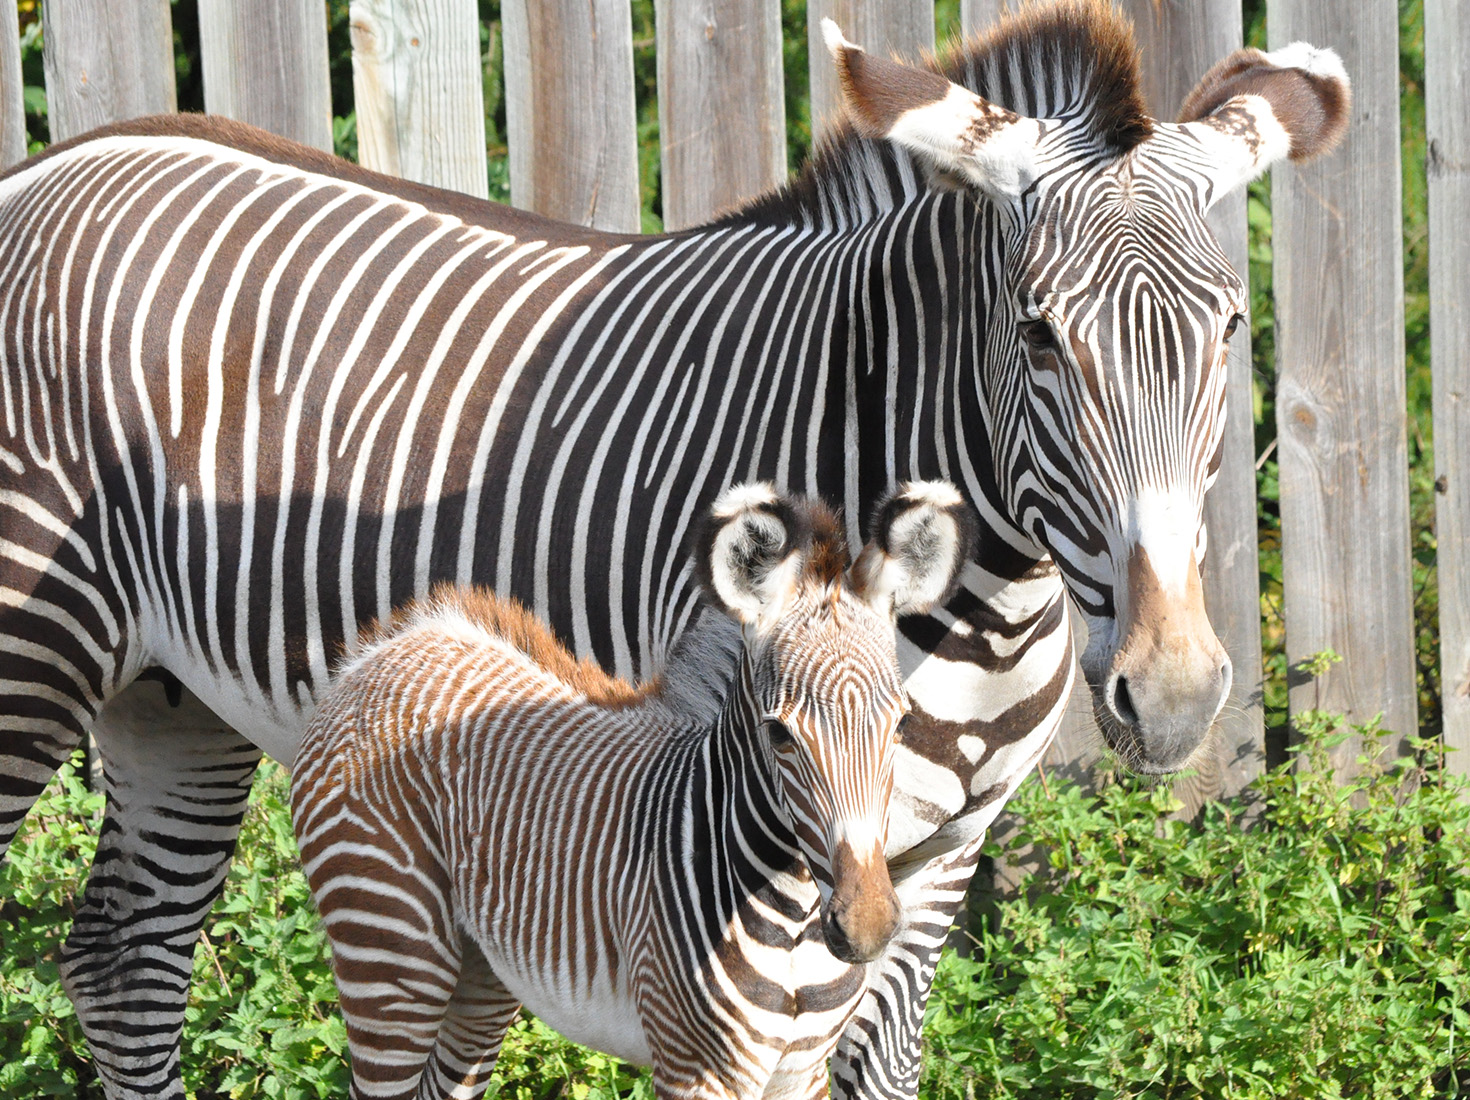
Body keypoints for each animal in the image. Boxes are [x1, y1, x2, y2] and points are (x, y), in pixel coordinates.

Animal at [291, 481, 973, 1100]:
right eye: (778, 734)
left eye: (902, 724)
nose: (867, 929)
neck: (797, 922)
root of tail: (391, 649)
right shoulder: (696, 1070)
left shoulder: (800, 1072)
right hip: (389, 946)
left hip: (479, 967)